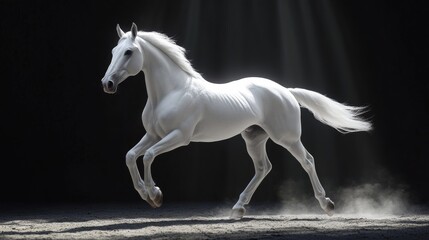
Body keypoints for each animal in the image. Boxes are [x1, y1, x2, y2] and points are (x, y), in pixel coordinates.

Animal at [101, 23, 372, 219]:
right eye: (113, 51)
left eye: (129, 52)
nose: (108, 84)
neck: (171, 92)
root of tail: (286, 91)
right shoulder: (154, 135)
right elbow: (130, 156)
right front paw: (145, 193)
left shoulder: (179, 136)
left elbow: (147, 156)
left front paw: (155, 195)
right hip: (254, 138)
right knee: (263, 168)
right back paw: (238, 208)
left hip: (287, 138)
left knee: (307, 161)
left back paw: (327, 205)